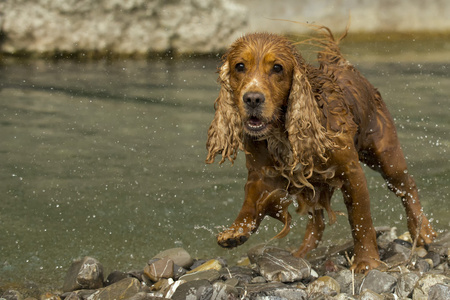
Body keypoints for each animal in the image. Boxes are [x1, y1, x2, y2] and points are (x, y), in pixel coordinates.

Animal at [205, 27, 436, 274]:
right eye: (239, 66)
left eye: (277, 67)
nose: (252, 98)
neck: (283, 131)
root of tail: (342, 64)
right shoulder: (262, 172)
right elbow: (250, 201)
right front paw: (236, 231)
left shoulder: (351, 171)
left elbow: (360, 218)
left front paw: (367, 262)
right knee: (317, 222)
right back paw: (299, 255)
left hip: (386, 154)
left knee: (407, 187)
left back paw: (423, 231)